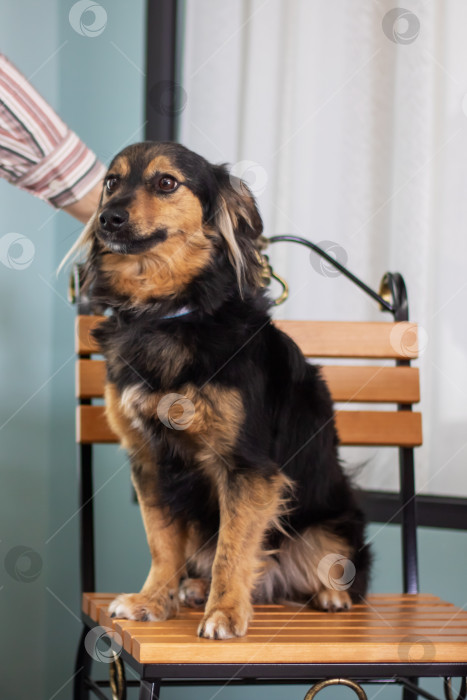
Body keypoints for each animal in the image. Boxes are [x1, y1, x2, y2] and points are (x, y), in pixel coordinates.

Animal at [69, 142, 372, 640]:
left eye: (166, 183)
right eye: (111, 182)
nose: (107, 219)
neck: (167, 312)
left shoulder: (246, 467)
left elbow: (233, 547)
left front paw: (226, 612)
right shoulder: (148, 460)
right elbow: (161, 542)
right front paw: (154, 600)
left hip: (329, 526)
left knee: (337, 571)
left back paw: (330, 596)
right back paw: (193, 588)